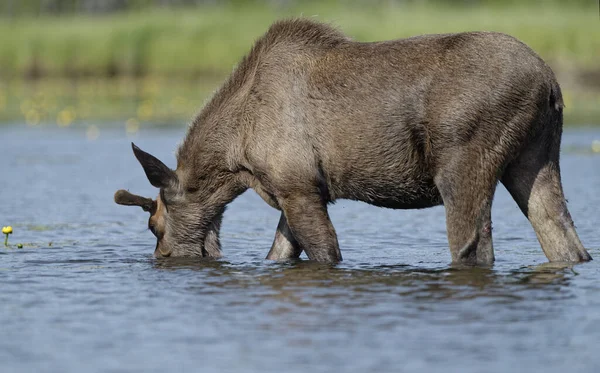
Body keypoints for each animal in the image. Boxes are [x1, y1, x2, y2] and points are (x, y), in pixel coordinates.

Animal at [113, 19, 592, 264]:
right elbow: (280, 252)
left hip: (463, 164)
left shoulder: (299, 188)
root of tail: (550, 84)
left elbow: (325, 253)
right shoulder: (297, 191)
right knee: (565, 240)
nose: (162, 256)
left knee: (474, 247)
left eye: (154, 225)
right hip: (534, 160)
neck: (237, 161)